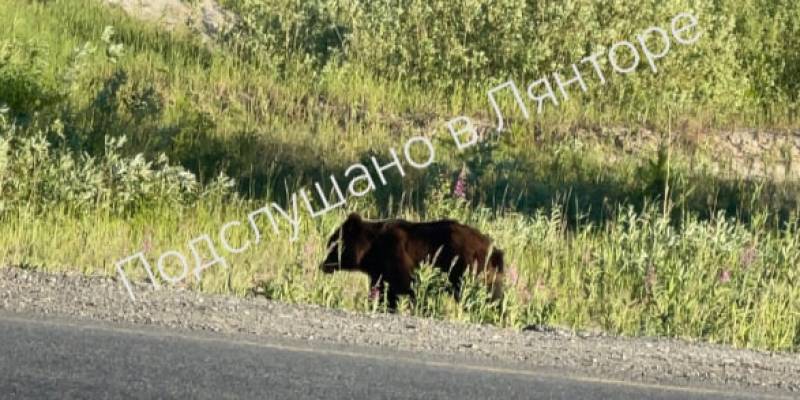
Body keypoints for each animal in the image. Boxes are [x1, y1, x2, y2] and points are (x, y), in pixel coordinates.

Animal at [320, 212, 504, 310]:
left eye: (332, 244)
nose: (322, 265)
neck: (371, 251)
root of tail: (494, 250)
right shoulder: (379, 271)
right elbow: (382, 290)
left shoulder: (395, 256)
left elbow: (404, 286)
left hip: (469, 269)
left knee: (484, 295)